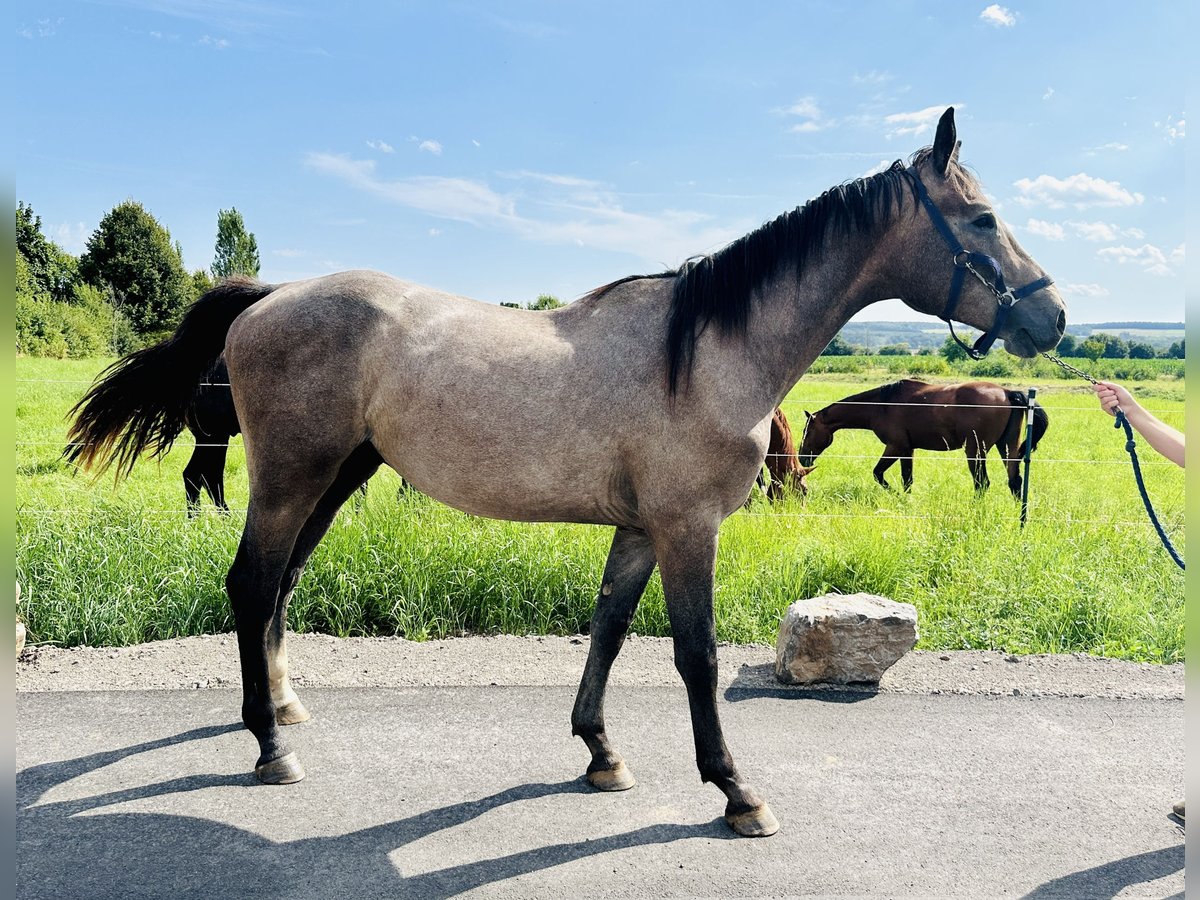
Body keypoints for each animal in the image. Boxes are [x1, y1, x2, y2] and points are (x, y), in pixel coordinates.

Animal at [796, 379, 1051, 496]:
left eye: (807, 431)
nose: (802, 457)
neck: (882, 404)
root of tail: (1007, 392)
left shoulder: (895, 446)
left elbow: (878, 473)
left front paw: (894, 495)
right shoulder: (907, 449)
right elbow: (907, 479)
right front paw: (905, 499)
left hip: (975, 451)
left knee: (982, 483)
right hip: (1006, 447)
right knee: (1014, 481)